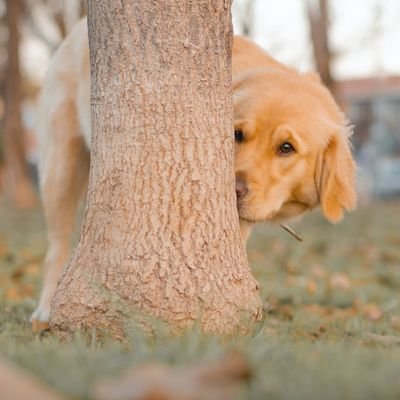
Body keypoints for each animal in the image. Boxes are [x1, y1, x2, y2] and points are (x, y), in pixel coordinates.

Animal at [31, 19, 356, 324]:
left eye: (286, 148)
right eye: (237, 134)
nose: (234, 190)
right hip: (60, 168)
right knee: (56, 247)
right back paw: (46, 309)